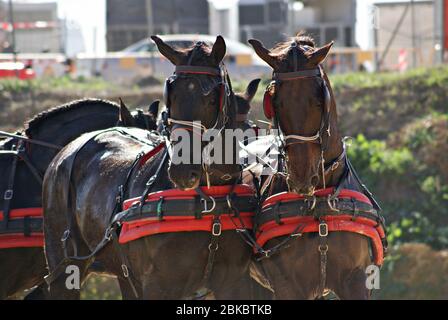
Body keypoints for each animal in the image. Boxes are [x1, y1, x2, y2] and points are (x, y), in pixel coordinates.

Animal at [42, 36, 272, 298]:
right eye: (171, 96)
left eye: (213, 98)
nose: (181, 171)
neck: (210, 199)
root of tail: (68, 150)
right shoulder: (159, 284)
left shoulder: (235, 282)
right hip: (64, 264)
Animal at [248, 33, 382, 298]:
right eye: (275, 103)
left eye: (319, 101)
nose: (301, 177)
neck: (319, 203)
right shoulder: (288, 285)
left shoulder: (356, 278)